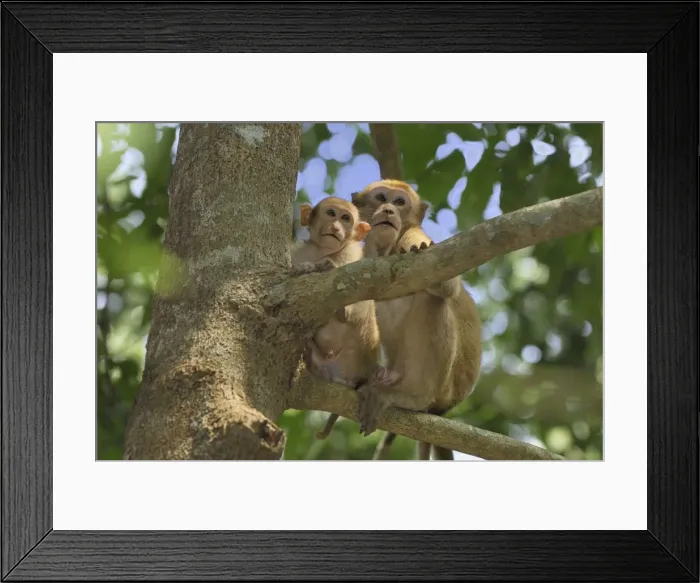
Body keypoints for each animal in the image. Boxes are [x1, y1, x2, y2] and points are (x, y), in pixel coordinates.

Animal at [290, 196, 385, 439]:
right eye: (331, 213)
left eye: (345, 218)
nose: (335, 228)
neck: (321, 251)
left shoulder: (350, 253)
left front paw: (318, 267)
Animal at [351, 179, 482, 460]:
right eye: (381, 198)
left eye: (400, 202)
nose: (388, 209)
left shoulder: (414, 237)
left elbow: (446, 285)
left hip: (440, 387)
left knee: (431, 298)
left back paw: (412, 396)